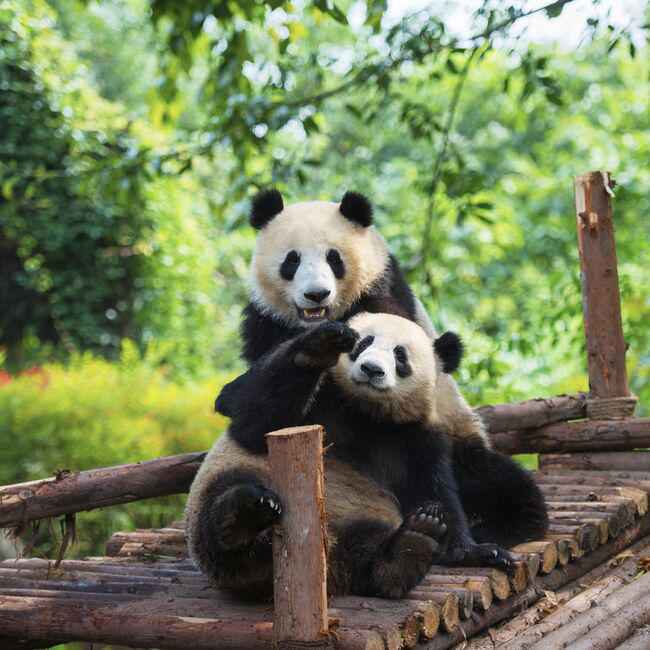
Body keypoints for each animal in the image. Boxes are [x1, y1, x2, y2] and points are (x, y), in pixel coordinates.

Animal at [189, 312, 516, 600]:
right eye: (363, 343)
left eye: (400, 356)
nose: (371, 369)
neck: (365, 412)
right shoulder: (321, 401)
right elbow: (254, 422)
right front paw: (317, 347)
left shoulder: (414, 436)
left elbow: (434, 486)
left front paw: (474, 549)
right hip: (237, 482)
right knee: (223, 504)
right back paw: (245, 515)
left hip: (359, 519)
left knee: (366, 549)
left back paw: (409, 548)